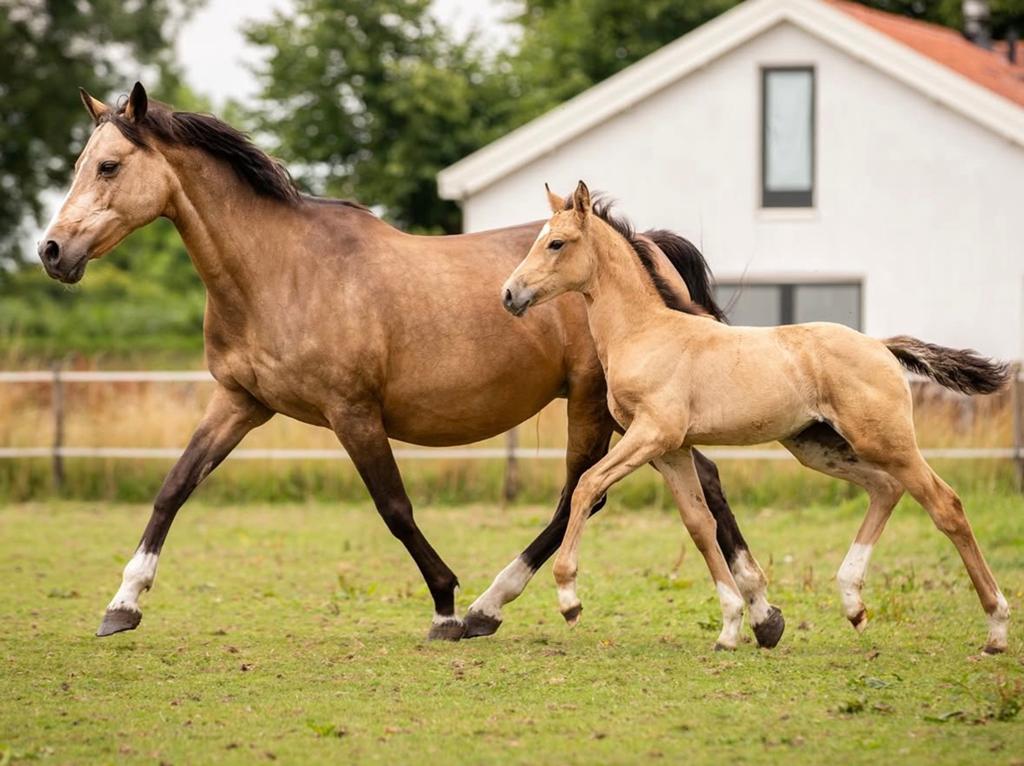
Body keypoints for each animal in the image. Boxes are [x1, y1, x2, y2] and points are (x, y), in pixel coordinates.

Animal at [36, 83, 786, 647]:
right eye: (79, 163)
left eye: (108, 166)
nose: (51, 251)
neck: (280, 272)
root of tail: (643, 243)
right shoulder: (240, 401)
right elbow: (175, 486)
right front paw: (123, 604)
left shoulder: (352, 412)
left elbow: (394, 508)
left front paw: (445, 605)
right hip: (639, 412)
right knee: (694, 481)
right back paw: (762, 613)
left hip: (594, 402)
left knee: (585, 491)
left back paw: (487, 607)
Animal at [501, 181, 1011, 653]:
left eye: (556, 242)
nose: (509, 294)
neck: (646, 333)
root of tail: (880, 345)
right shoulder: (671, 449)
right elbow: (699, 524)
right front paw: (731, 627)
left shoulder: (652, 434)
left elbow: (587, 486)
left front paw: (569, 598)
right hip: (818, 446)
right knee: (886, 488)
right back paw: (853, 604)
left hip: (886, 441)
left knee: (945, 505)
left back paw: (996, 629)